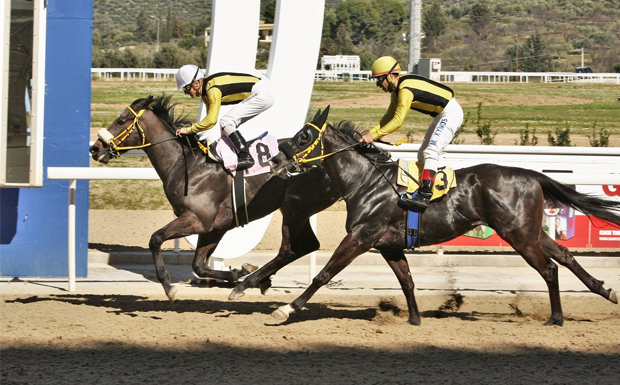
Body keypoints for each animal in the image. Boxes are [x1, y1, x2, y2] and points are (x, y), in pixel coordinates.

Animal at [88, 95, 340, 300]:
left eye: (121, 121)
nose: (95, 149)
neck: (186, 165)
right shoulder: (214, 226)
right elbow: (198, 265)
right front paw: (238, 272)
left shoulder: (199, 218)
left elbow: (155, 238)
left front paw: (169, 286)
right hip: (300, 210)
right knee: (308, 245)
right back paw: (259, 279)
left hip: (294, 208)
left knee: (290, 249)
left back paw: (253, 282)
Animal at [272, 106, 620, 326]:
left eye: (303, 137)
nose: (275, 158)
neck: (366, 181)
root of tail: (530, 174)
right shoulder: (388, 245)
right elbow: (407, 282)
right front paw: (414, 319)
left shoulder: (361, 237)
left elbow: (324, 274)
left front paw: (287, 308)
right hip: (532, 231)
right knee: (565, 255)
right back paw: (605, 290)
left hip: (519, 235)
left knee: (549, 269)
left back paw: (556, 318)